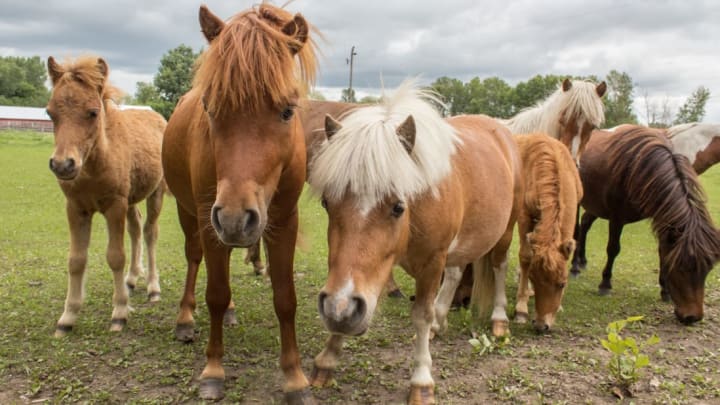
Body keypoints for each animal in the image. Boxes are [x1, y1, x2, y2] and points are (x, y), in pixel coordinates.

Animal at [45, 55, 167, 336]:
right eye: (50, 113)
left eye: (93, 112)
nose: (63, 165)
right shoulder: (75, 208)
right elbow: (76, 260)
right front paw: (67, 317)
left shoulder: (114, 206)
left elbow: (115, 256)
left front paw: (120, 313)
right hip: (131, 199)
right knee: (136, 227)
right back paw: (132, 279)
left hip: (156, 193)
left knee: (150, 232)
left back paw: (153, 288)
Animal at [163, 3, 320, 400]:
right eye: (209, 107)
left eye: (287, 110)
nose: (235, 217)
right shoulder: (210, 219)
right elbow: (215, 294)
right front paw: (213, 370)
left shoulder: (284, 221)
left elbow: (285, 298)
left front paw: (295, 378)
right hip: (192, 214)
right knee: (195, 259)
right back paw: (185, 319)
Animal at [306, 80, 520, 402]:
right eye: (327, 203)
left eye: (398, 207)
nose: (337, 309)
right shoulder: (376, 268)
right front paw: (327, 359)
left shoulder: (432, 262)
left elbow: (421, 314)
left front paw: (421, 381)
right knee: (455, 273)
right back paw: (440, 322)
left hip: (505, 230)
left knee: (499, 267)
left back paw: (499, 320)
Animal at [512, 134, 584, 330]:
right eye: (534, 278)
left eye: (562, 284)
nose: (541, 325)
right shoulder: (524, 216)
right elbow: (525, 257)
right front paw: (521, 310)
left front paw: (558, 306)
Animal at [568, 124, 720, 324]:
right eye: (683, 267)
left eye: (708, 269)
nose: (692, 317)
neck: (639, 167)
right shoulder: (617, 217)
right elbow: (613, 249)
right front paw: (605, 284)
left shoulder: (662, 217)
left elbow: (663, 252)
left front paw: (665, 290)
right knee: (577, 230)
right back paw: (574, 267)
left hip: (596, 204)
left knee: (585, 224)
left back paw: (582, 261)